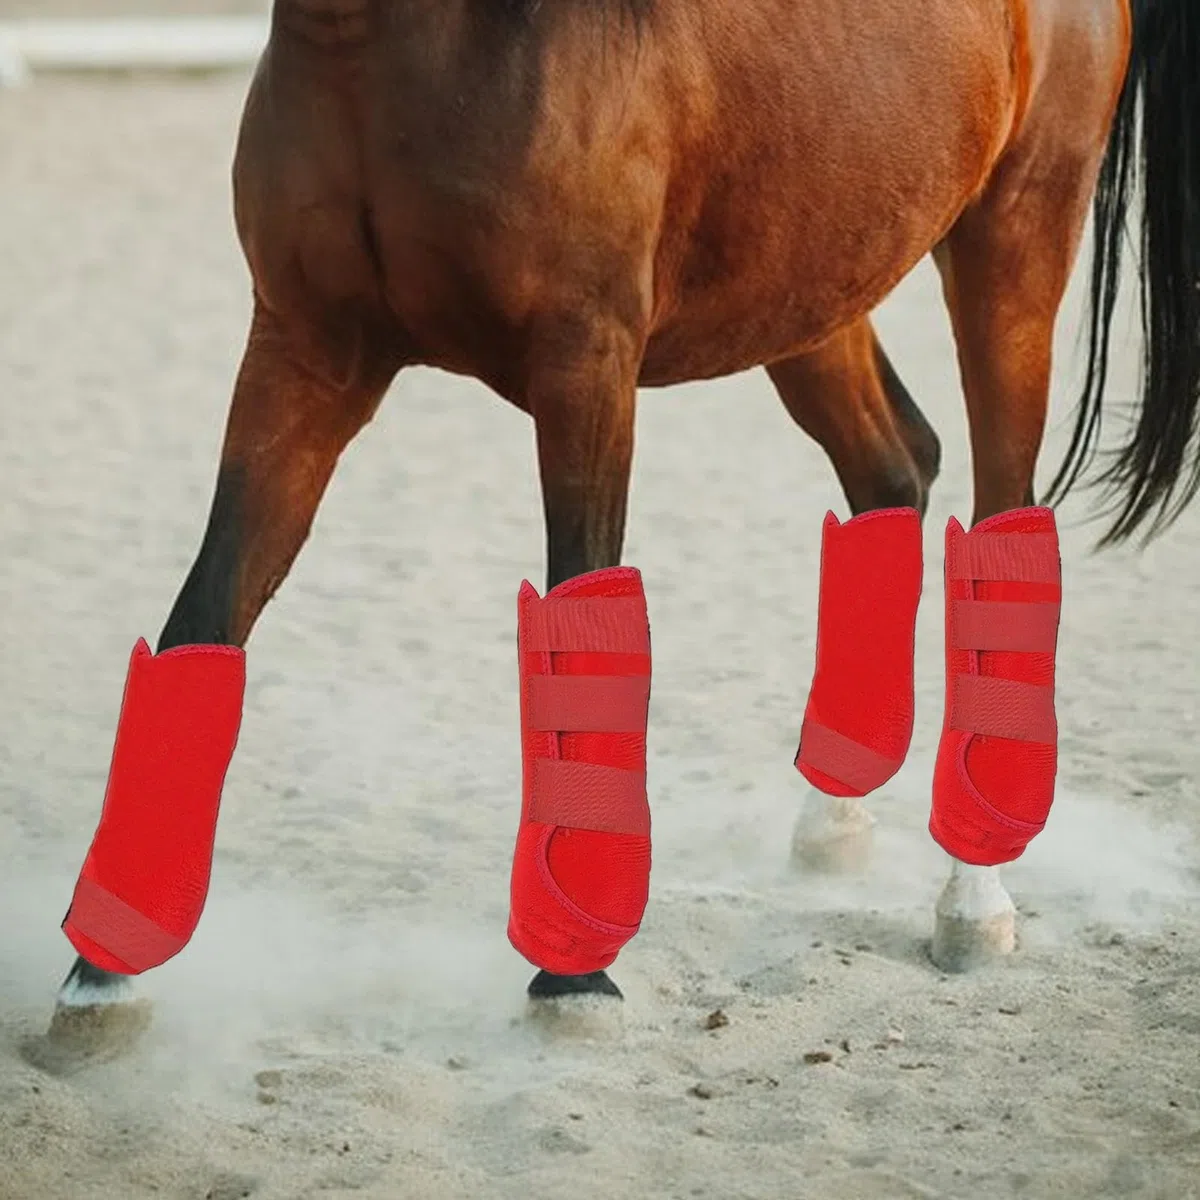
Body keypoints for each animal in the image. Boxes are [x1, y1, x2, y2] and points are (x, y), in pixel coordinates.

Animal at [48, 0, 1200, 1053]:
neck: (403, 44)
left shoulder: (585, 367)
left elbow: (582, 614)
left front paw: (573, 978)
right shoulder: (305, 350)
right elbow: (206, 617)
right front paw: (104, 974)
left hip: (1014, 246)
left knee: (1003, 524)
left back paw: (974, 898)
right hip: (817, 284)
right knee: (894, 469)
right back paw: (832, 823)